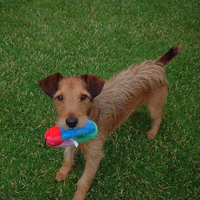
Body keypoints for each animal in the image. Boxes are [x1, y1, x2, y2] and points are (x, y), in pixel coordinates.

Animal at [38, 46, 182, 198]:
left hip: (155, 107)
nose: (71, 122)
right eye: (60, 97)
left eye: (83, 97)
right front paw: (63, 172)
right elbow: (68, 156)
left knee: (158, 118)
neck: (91, 117)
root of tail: (156, 64)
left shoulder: (94, 157)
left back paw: (153, 132)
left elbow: (84, 181)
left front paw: (78, 197)